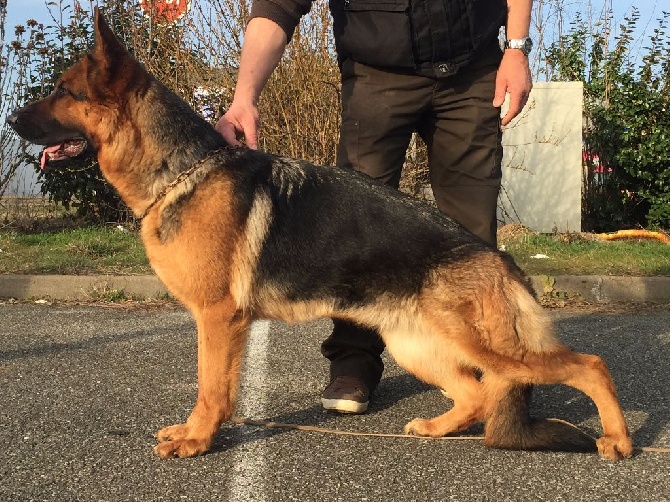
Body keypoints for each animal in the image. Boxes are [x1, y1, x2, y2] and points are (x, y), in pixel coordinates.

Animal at [6, 9, 636, 460]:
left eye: (64, 91)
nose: (10, 119)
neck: (181, 170)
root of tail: (499, 258)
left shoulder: (218, 319)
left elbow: (211, 388)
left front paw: (198, 440)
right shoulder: (220, 322)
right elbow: (213, 388)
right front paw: (198, 434)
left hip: (482, 346)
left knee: (590, 365)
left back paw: (620, 440)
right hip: (416, 345)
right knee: (479, 393)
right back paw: (437, 427)